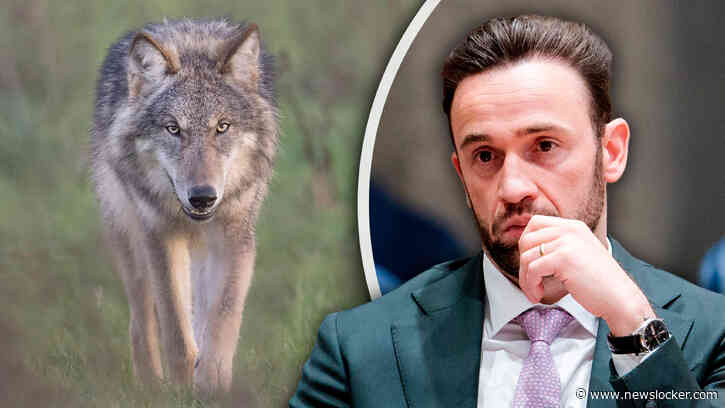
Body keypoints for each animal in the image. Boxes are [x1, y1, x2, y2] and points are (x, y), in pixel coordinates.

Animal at [89, 18, 277, 394]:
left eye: (222, 127)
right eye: (173, 129)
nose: (202, 196)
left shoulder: (235, 237)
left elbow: (223, 317)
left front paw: (212, 385)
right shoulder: (161, 236)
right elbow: (176, 331)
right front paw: (178, 389)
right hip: (132, 243)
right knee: (141, 321)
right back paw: (149, 385)